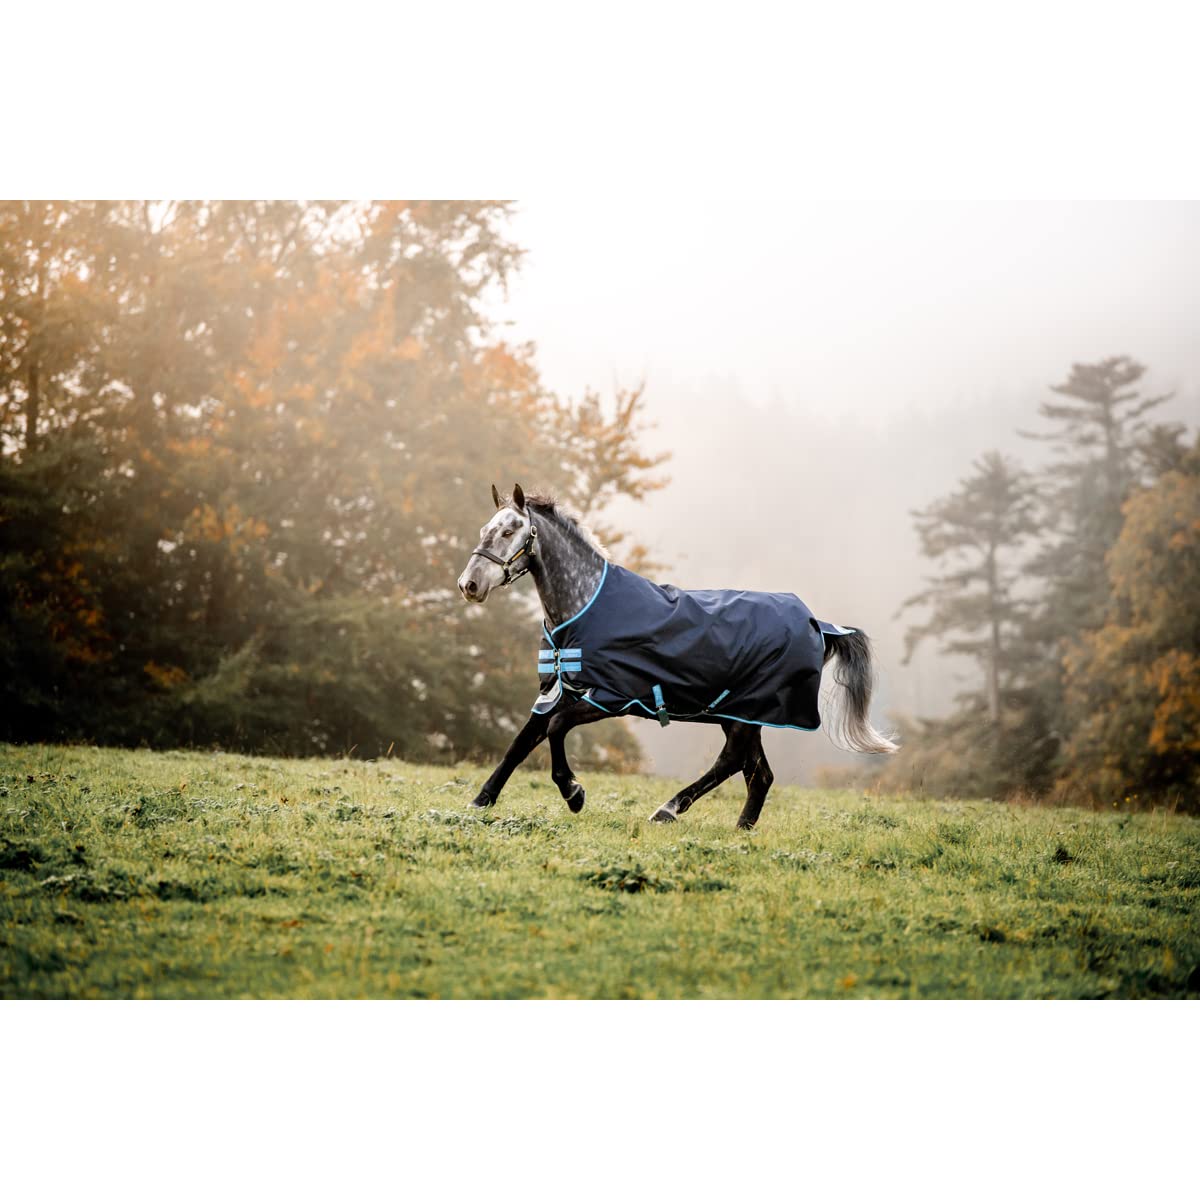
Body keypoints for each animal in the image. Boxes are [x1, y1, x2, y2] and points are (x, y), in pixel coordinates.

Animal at [457, 483, 897, 829]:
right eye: (485, 529)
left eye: (510, 530)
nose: (469, 584)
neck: (585, 607)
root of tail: (818, 623)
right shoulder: (555, 690)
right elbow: (521, 742)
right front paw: (481, 801)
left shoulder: (610, 698)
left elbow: (555, 729)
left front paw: (574, 793)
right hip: (742, 714)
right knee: (757, 773)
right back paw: (740, 827)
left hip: (745, 714)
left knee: (734, 762)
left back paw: (668, 810)